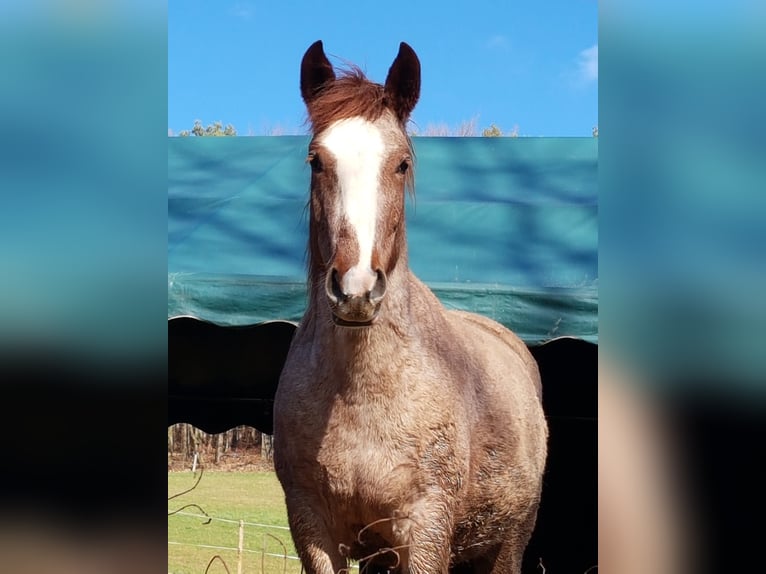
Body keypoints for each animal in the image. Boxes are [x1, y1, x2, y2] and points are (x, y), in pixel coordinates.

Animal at [272, 41, 548, 574]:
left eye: (401, 163)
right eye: (316, 160)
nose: (356, 289)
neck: (361, 391)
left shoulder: (425, 531)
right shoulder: (312, 526)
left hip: (507, 546)